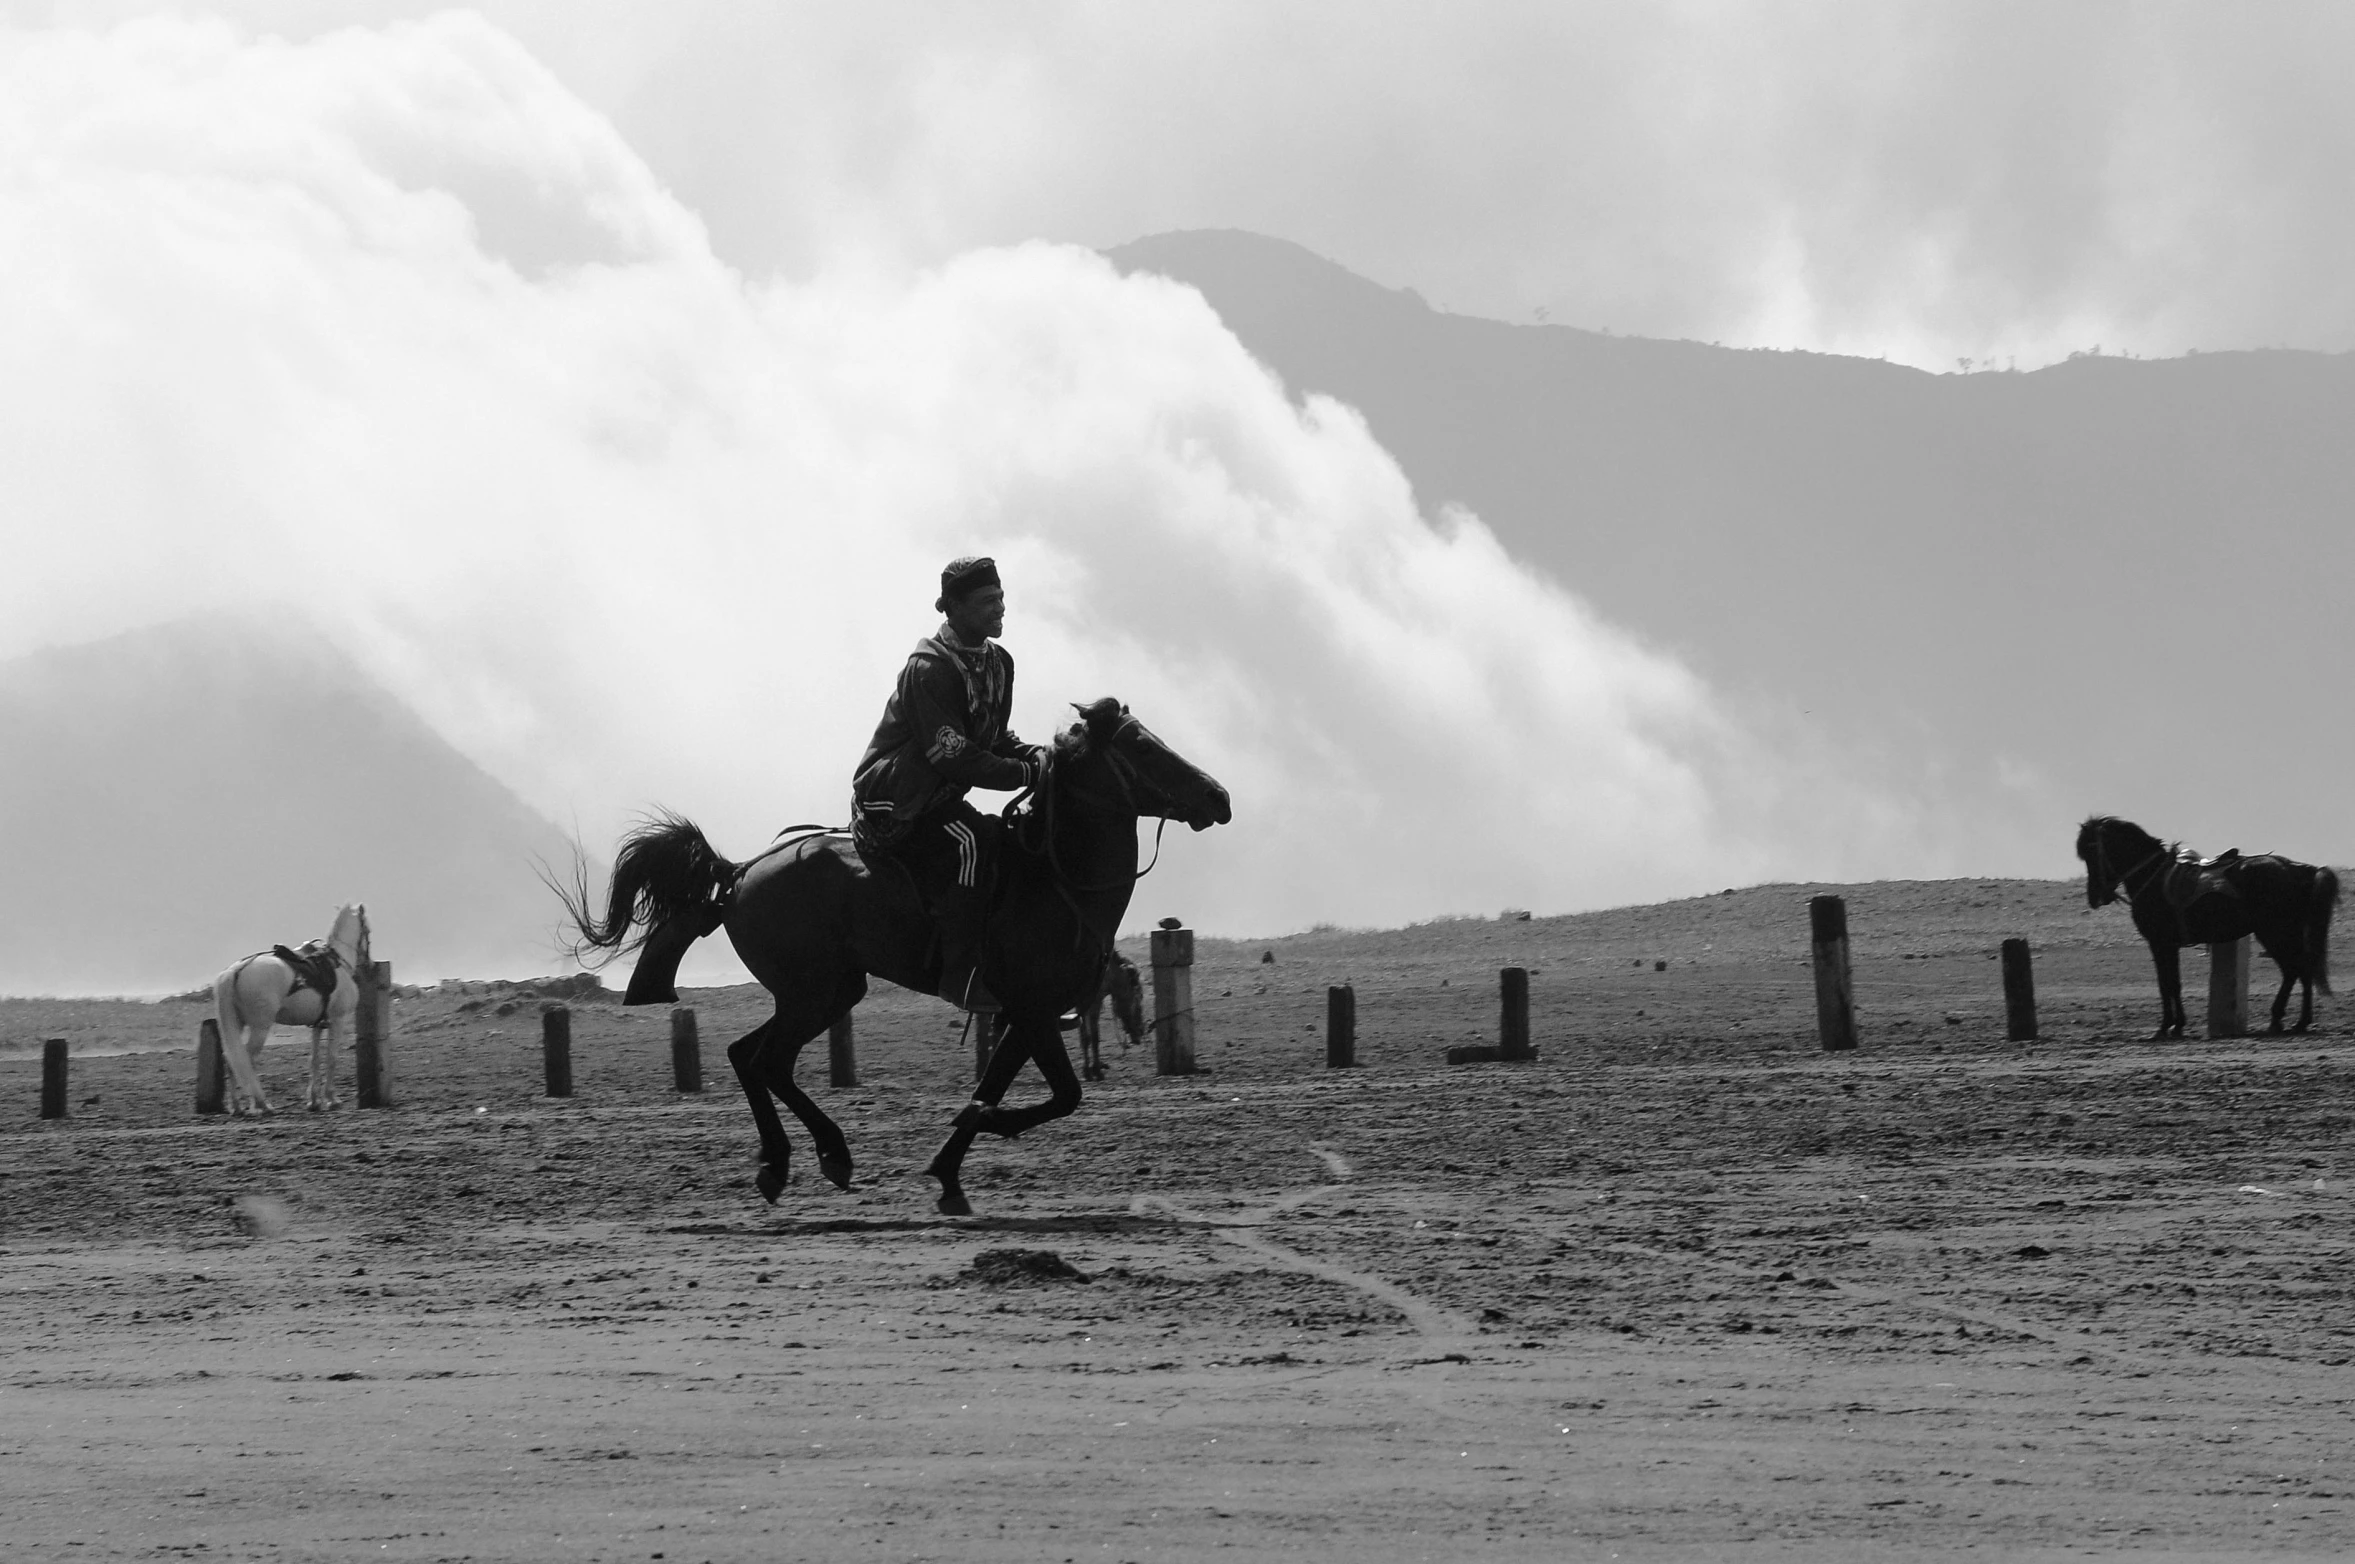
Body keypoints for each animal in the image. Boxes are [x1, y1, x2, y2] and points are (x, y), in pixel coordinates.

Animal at [209, 904, 367, 1111]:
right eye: (367, 928)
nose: (368, 961)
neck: (337, 963)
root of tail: (237, 969)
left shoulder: (318, 1024)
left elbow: (314, 1059)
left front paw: (314, 1100)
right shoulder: (337, 1020)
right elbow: (332, 1058)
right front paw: (332, 1098)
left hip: (237, 1024)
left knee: (232, 1060)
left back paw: (236, 1106)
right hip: (260, 1028)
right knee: (247, 1060)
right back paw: (262, 1103)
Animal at [1078, 946, 1144, 1083]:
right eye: (1138, 997)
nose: (1141, 1031)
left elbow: (1087, 1037)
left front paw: (1089, 1071)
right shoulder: (1092, 1005)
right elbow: (1092, 1037)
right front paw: (1095, 1071)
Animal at [2081, 819, 2336, 1036]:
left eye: (2091, 853)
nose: (2094, 897)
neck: (2153, 878)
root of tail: (2297, 868)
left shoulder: (2159, 943)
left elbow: (2165, 984)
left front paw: (2165, 1027)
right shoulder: (2169, 945)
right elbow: (2174, 984)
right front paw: (2177, 1025)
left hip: (2275, 933)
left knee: (2294, 969)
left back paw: (2283, 1020)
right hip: (2283, 933)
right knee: (2301, 969)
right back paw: (2298, 1022)